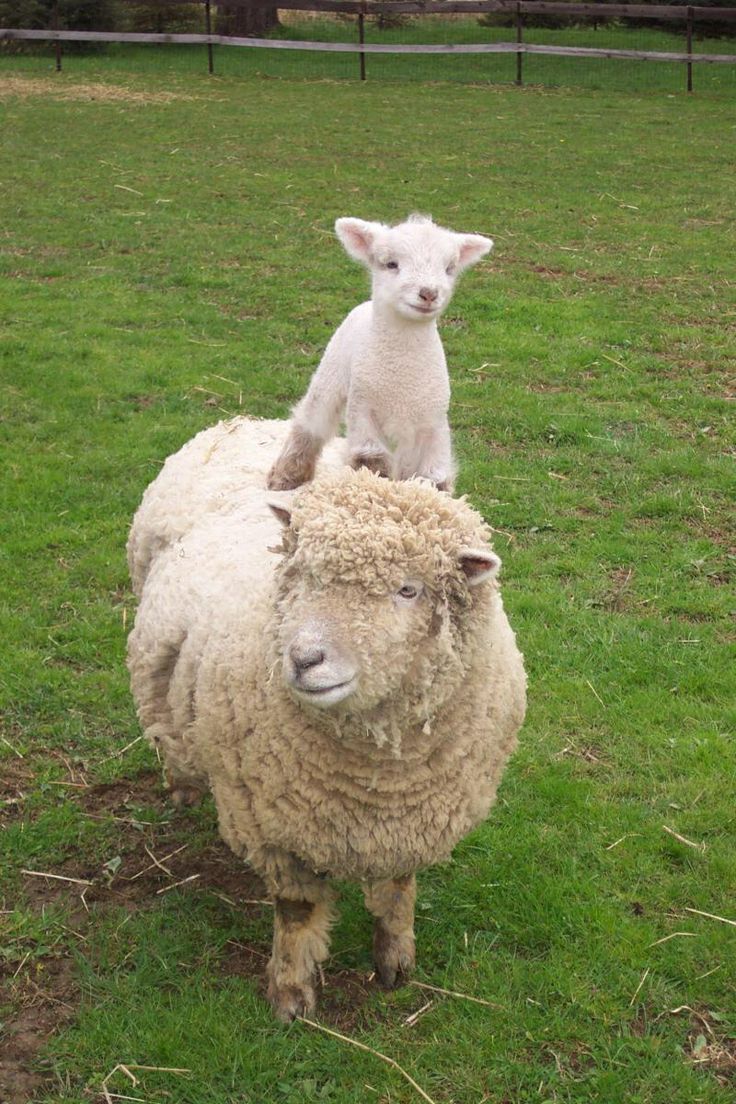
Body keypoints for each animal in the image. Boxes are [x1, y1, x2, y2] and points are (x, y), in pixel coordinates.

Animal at [127, 416, 526, 1022]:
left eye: (408, 589)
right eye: (302, 573)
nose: (304, 658)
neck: (377, 776)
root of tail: (247, 421)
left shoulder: (415, 818)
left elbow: (397, 892)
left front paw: (396, 962)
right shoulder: (272, 824)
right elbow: (296, 911)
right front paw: (291, 995)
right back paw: (183, 785)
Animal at [267, 213, 493, 495]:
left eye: (449, 269)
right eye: (391, 264)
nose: (429, 293)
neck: (400, 380)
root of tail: (364, 305)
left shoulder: (434, 423)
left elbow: (433, 479)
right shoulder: (363, 412)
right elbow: (370, 463)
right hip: (331, 370)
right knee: (311, 421)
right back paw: (285, 476)